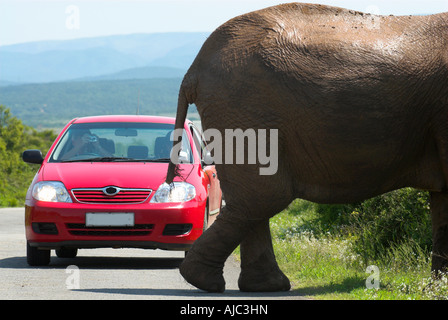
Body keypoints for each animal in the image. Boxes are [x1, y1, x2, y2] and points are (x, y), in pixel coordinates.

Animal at [165, 3, 448, 292]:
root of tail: (192, 71)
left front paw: (437, 288)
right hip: (245, 110)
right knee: (265, 196)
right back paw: (206, 280)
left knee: (256, 200)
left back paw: (263, 285)